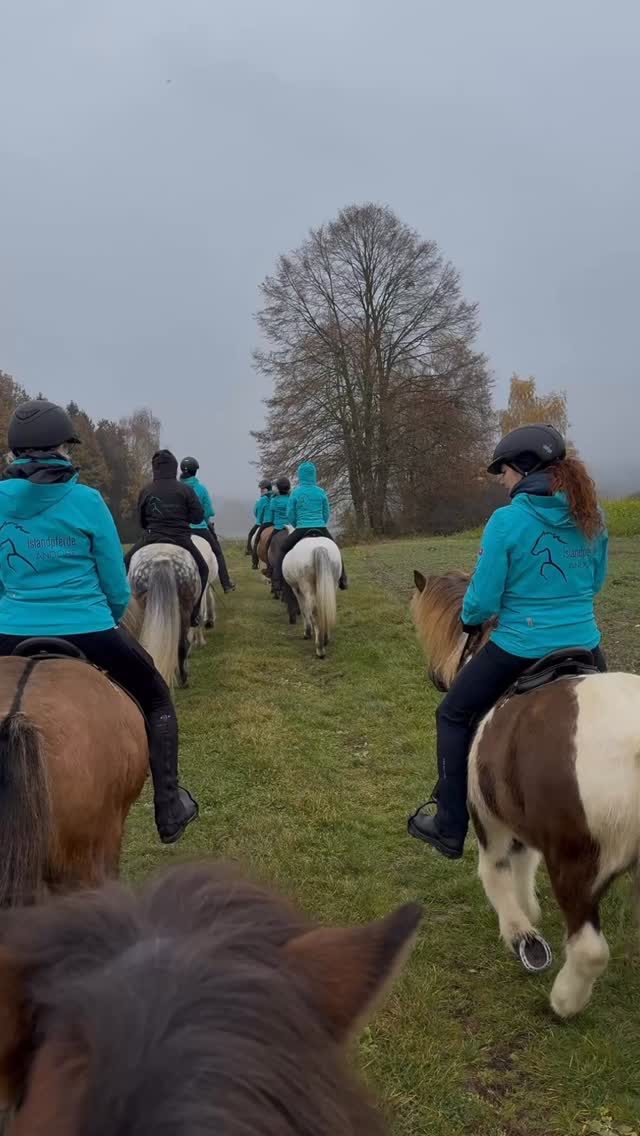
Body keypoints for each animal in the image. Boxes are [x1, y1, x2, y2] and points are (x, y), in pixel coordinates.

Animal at [411, 568, 640, 1018]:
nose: (436, 677)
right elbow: (522, 864)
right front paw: (530, 910)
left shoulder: (492, 823)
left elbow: (496, 873)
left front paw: (521, 934)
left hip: (576, 868)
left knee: (589, 950)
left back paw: (564, 1001)